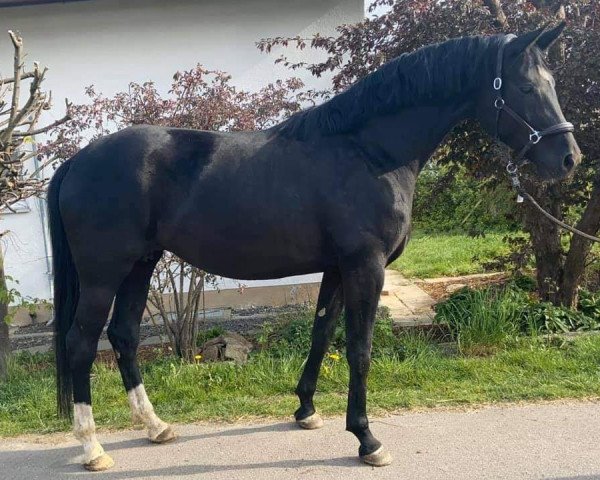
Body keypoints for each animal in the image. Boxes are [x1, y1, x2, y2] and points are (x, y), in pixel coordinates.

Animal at [49, 24, 580, 470]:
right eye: (526, 88)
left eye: (552, 84)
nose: (569, 158)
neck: (367, 153)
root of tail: (78, 160)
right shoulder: (366, 266)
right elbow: (360, 348)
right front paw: (367, 439)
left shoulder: (337, 267)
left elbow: (322, 333)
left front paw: (305, 409)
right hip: (104, 273)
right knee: (81, 343)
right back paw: (93, 448)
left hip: (141, 264)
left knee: (124, 335)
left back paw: (156, 427)